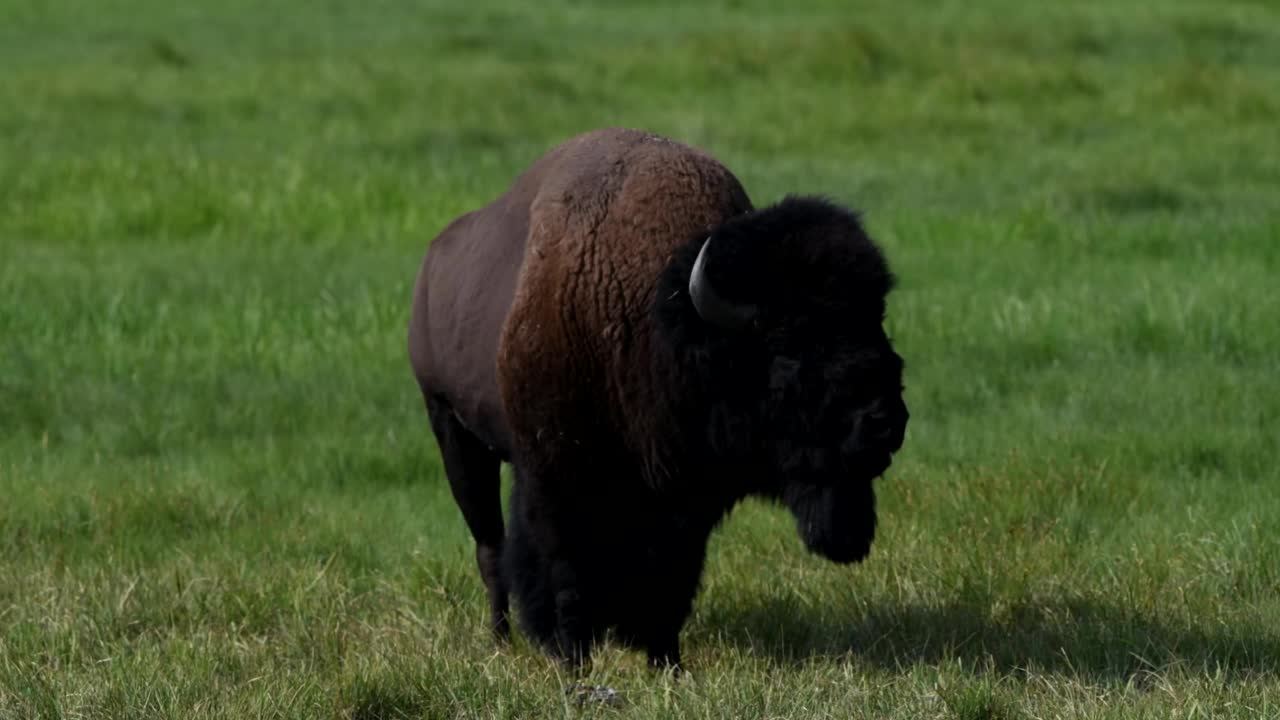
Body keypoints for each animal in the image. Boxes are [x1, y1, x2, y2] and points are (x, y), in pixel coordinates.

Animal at [409, 127, 911, 666]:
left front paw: (665, 660)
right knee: (490, 546)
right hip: (452, 431)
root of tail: (434, 264)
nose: (886, 422)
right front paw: (574, 658)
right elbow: (564, 571)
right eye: (789, 353)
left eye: (877, 325)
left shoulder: (684, 499)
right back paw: (501, 638)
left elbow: (670, 581)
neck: (659, 323)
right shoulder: (554, 477)